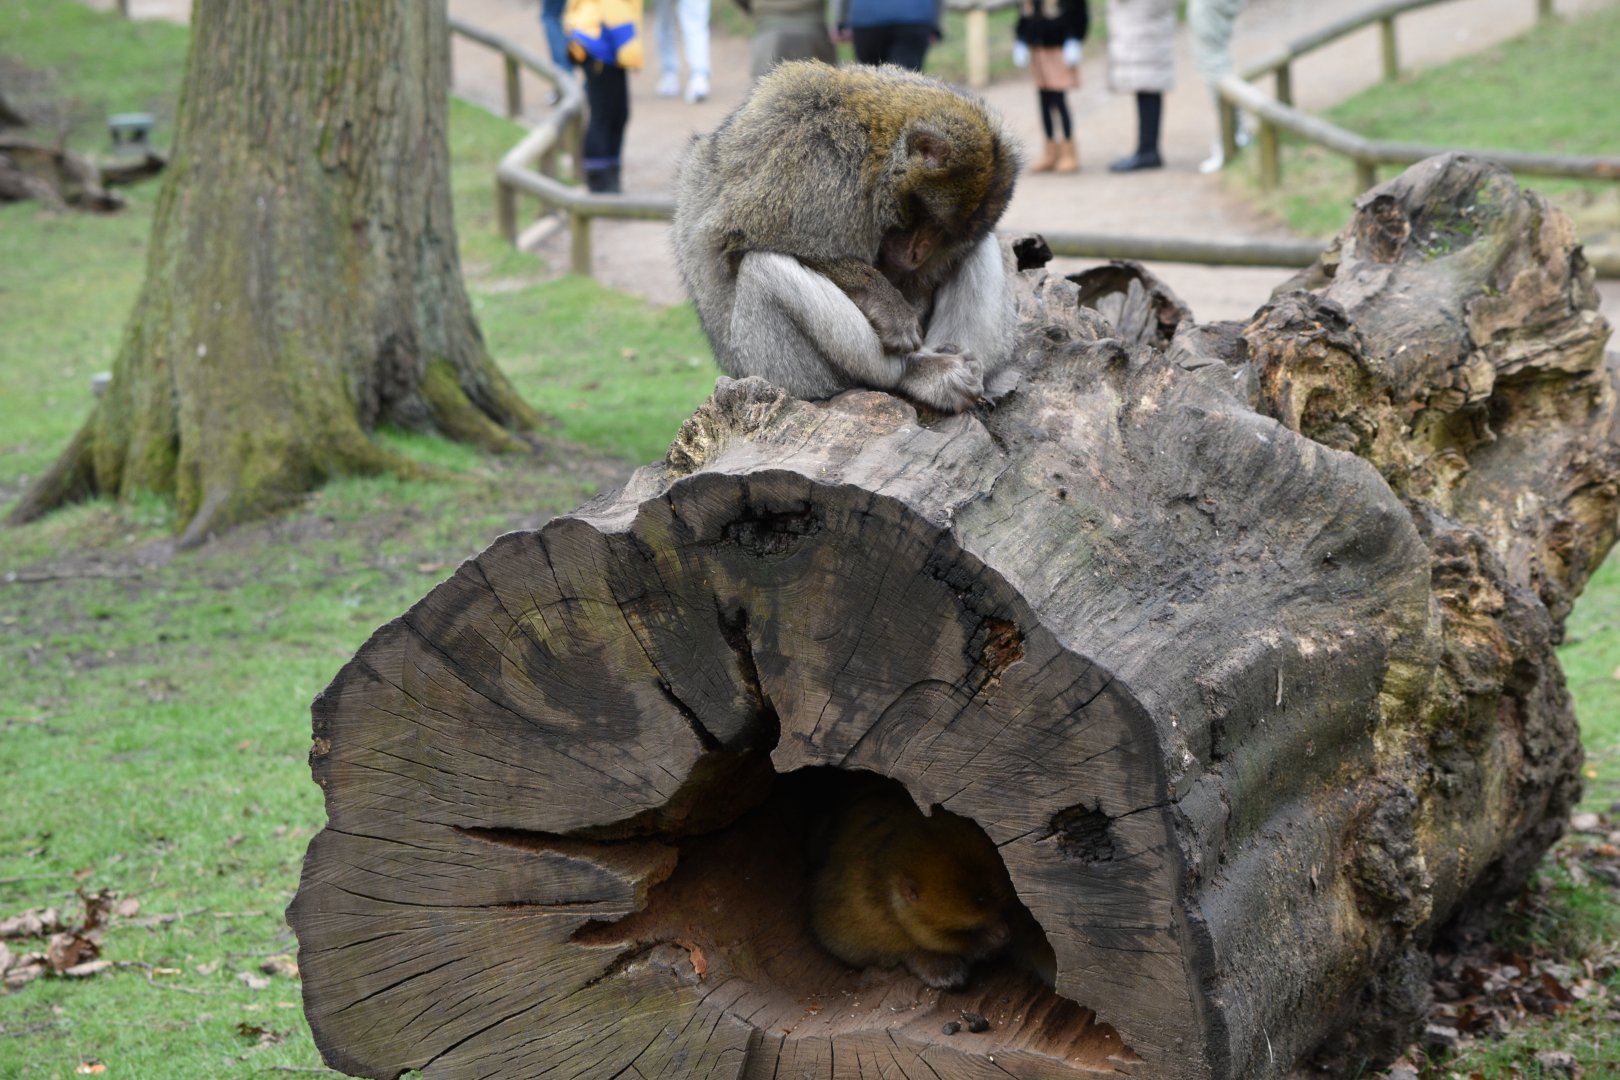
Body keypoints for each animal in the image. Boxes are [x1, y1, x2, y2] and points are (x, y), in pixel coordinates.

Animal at [672, 62, 1023, 415]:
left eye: (945, 235)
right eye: (930, 221)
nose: (919, 253)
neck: (876, 149)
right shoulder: (812, 162)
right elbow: (735, 242)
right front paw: (887, 303)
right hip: (782, 375)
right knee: (763, 269)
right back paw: (914, 373)